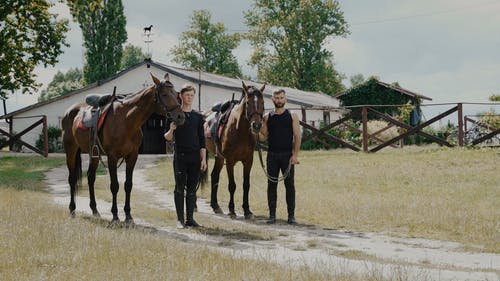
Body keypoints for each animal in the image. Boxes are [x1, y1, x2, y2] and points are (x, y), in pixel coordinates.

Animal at [204, 80, 266, 218]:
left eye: (262, 102)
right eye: (248, 102)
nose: (256, 125)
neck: (240, 131)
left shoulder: (248, 161)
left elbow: (246, 185)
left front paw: (247, 210)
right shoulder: (230, 161)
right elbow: (232, 185)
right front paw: (232, 210)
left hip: (219, 158)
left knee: (214, 176)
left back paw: (215, 206)